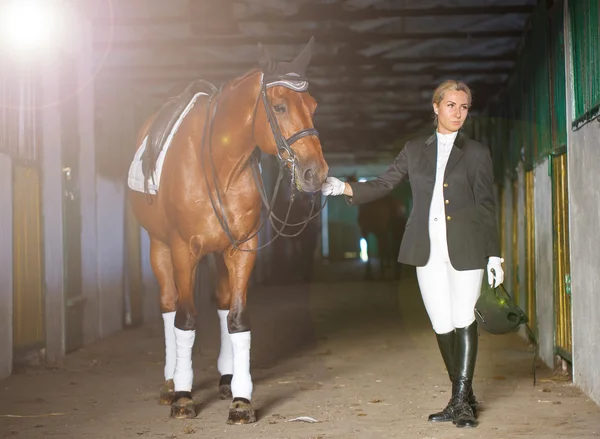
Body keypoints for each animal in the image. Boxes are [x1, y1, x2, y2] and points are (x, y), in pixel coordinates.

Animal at [127, 38, 330, 426]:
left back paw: (225, 377)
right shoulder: (183, 250)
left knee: (221, 304)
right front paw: (184, 396)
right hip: (160, 248)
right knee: (168, 306)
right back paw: (170, 381)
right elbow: (185, 319)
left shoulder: (241, 248)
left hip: (219, 253)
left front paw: (241, 398)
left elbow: (236, 319)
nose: (317, 173)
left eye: (313, 106)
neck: (219, 165)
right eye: (280, 106)